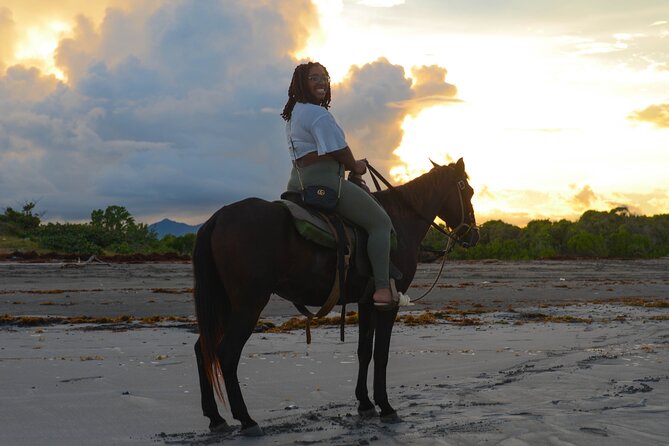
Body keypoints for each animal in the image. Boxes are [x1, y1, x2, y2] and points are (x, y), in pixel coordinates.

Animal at [190, 157, 478, 436]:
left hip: (225, 304)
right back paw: (247, 420)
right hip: (248, 305)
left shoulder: (367, 302)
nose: (473, 235)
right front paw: (385, 406)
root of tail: (218, 217)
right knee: (227, 353)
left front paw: (365, 403)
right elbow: (381, 354)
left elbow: (364, 351)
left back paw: (215, 418)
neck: (400, 219)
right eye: (468, 190)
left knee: (203, 349)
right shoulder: (388, 305)